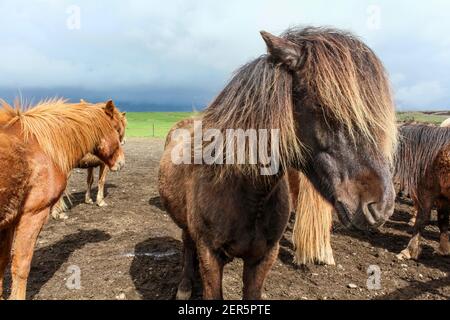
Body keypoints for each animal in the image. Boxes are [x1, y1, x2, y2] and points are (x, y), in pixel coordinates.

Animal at [0, 99, 125, 298]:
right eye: (117, 129)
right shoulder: (32, 215)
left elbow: (2, 261)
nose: (122, 162)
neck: (41, 146)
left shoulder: (8, 221)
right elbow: (21, 265)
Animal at [159, 26, 398, 300]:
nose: (382, 206)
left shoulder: (264, 257)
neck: (247, 195)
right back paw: (185, 286)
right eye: (324, 107)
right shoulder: (210, 255)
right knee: (187, 243)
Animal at [394, 124, 450, 260]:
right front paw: (444, 250)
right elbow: (443, 220)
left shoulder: (427, 192)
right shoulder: (442, 197)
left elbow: (421, 220)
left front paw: (409, 251)